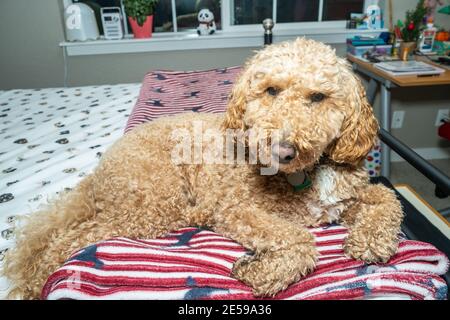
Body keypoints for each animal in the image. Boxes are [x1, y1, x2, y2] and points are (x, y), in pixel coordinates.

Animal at [2, 38, 404, 300]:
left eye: (318, 97)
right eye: (271, 90)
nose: (283, 149)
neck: (306, 174)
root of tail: (100, 170)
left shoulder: (348, 195)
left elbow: (388, 198)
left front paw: (372, 240)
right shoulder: (236, 209)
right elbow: (299, 238)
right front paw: (259, 272)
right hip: (152, 206)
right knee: (64, 241)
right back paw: (37, 282)